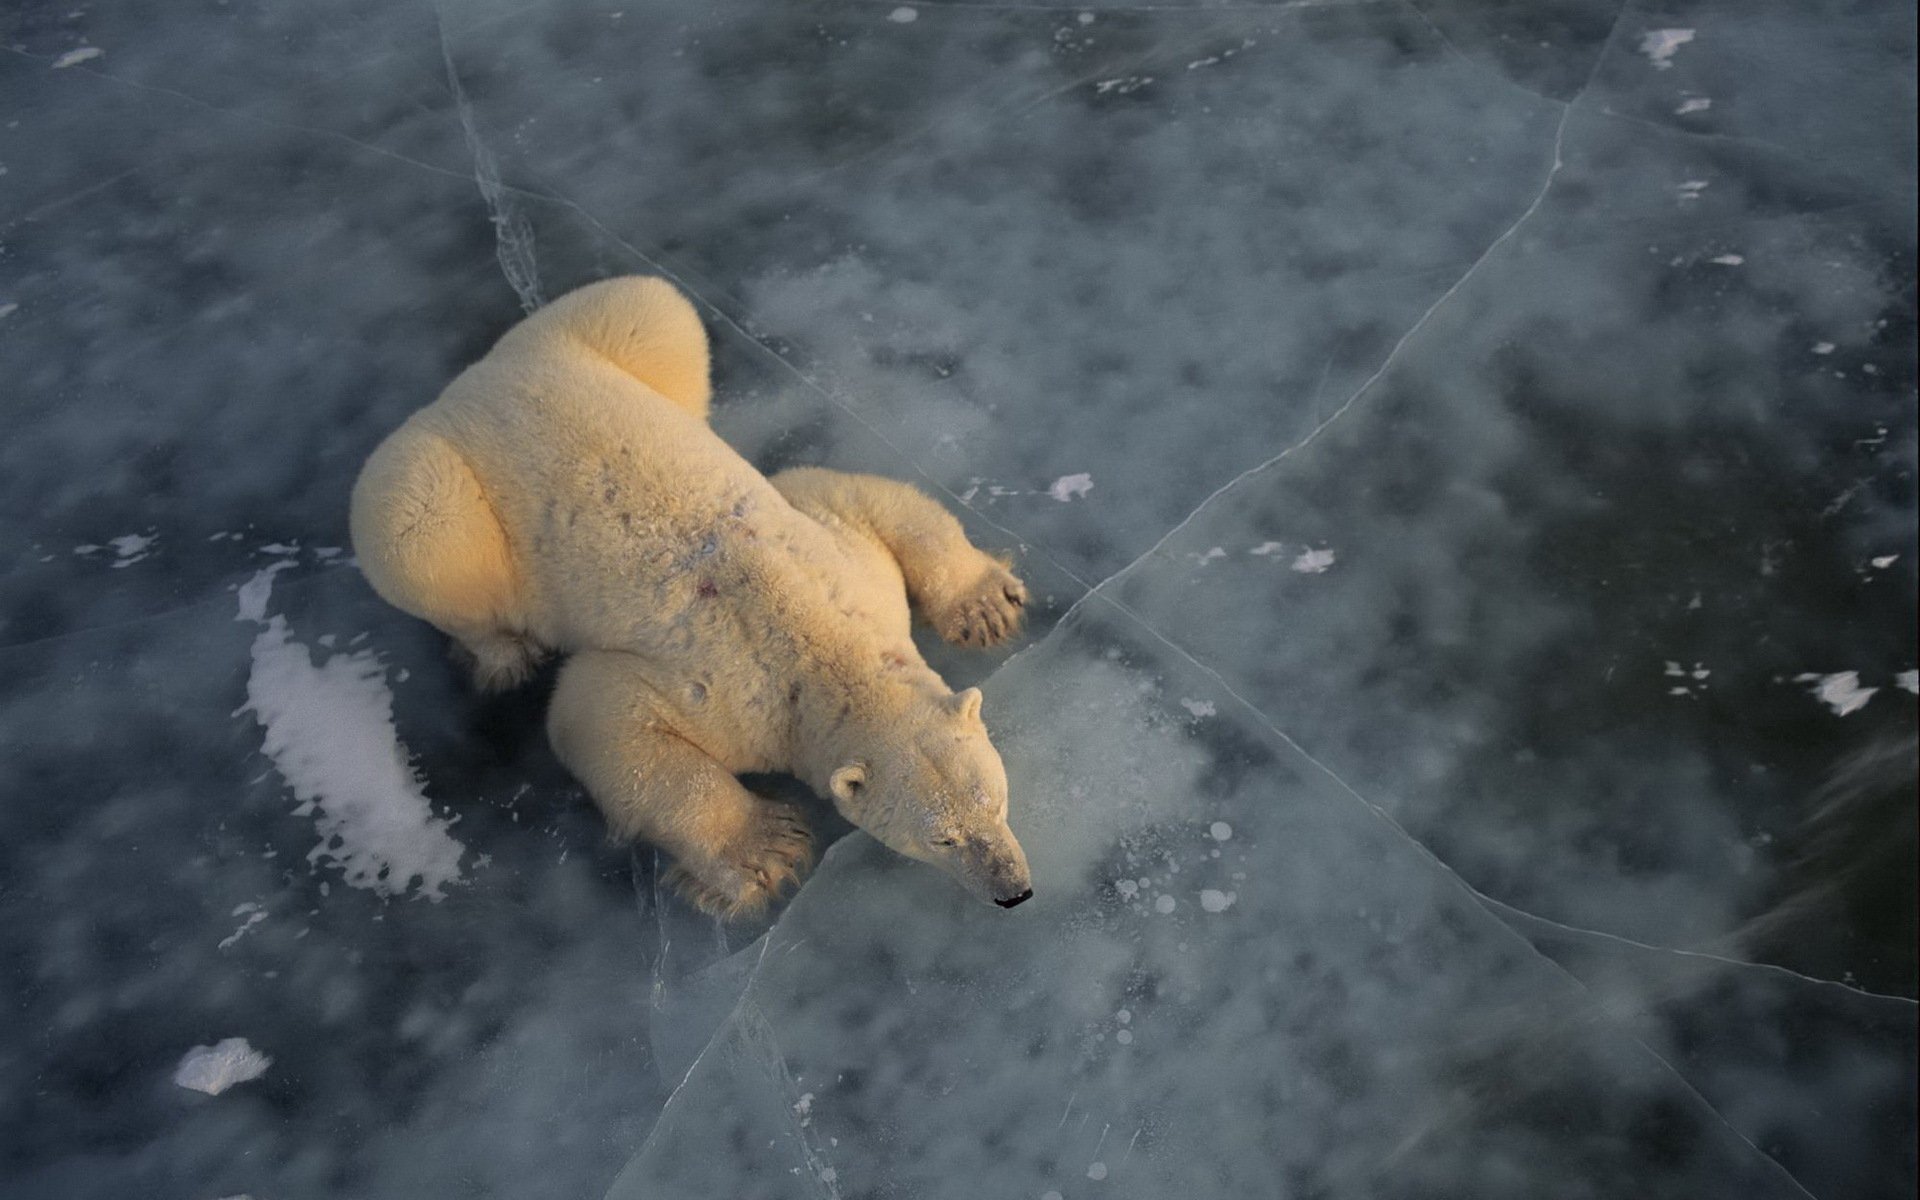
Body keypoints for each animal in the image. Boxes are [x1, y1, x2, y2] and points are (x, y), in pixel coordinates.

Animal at [349, 276, 1034, 918]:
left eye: (995, 801)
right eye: (941, 839)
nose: (1014, 891)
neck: (820, 645)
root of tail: (465, 388)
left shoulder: (846, 567)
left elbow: (856, 495)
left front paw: (986, 607)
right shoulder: (732, 696)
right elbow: (600, 715)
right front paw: (766, 848)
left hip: (589, 338)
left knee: (657, 313)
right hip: (439, 493)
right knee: (418, 535)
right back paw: (501, 654)